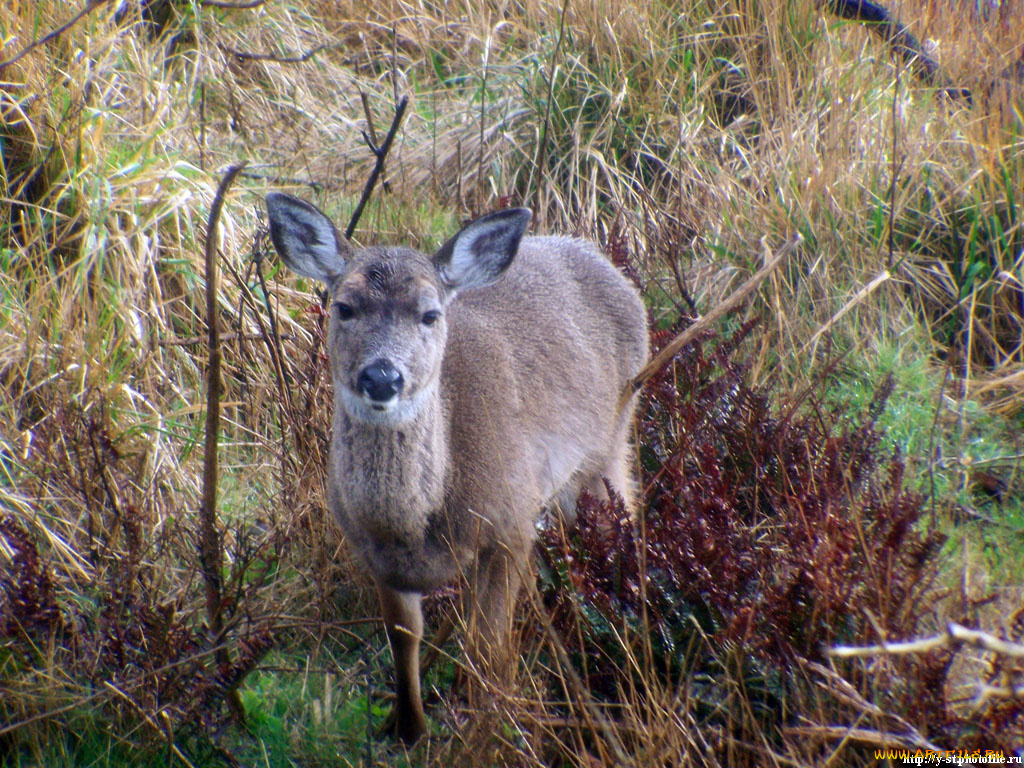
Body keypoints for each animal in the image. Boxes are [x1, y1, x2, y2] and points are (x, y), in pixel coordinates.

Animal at [264, 193, 647, 745]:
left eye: (429, 314)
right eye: (343, 307)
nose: (382, 376)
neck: (416, 523)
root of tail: (597, 256)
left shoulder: (510, 525)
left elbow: (487, 647)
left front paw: (490, 729)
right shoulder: (373, 554)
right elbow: (403, 639)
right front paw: (407, 728)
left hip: (613, 436)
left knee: (626, 513)